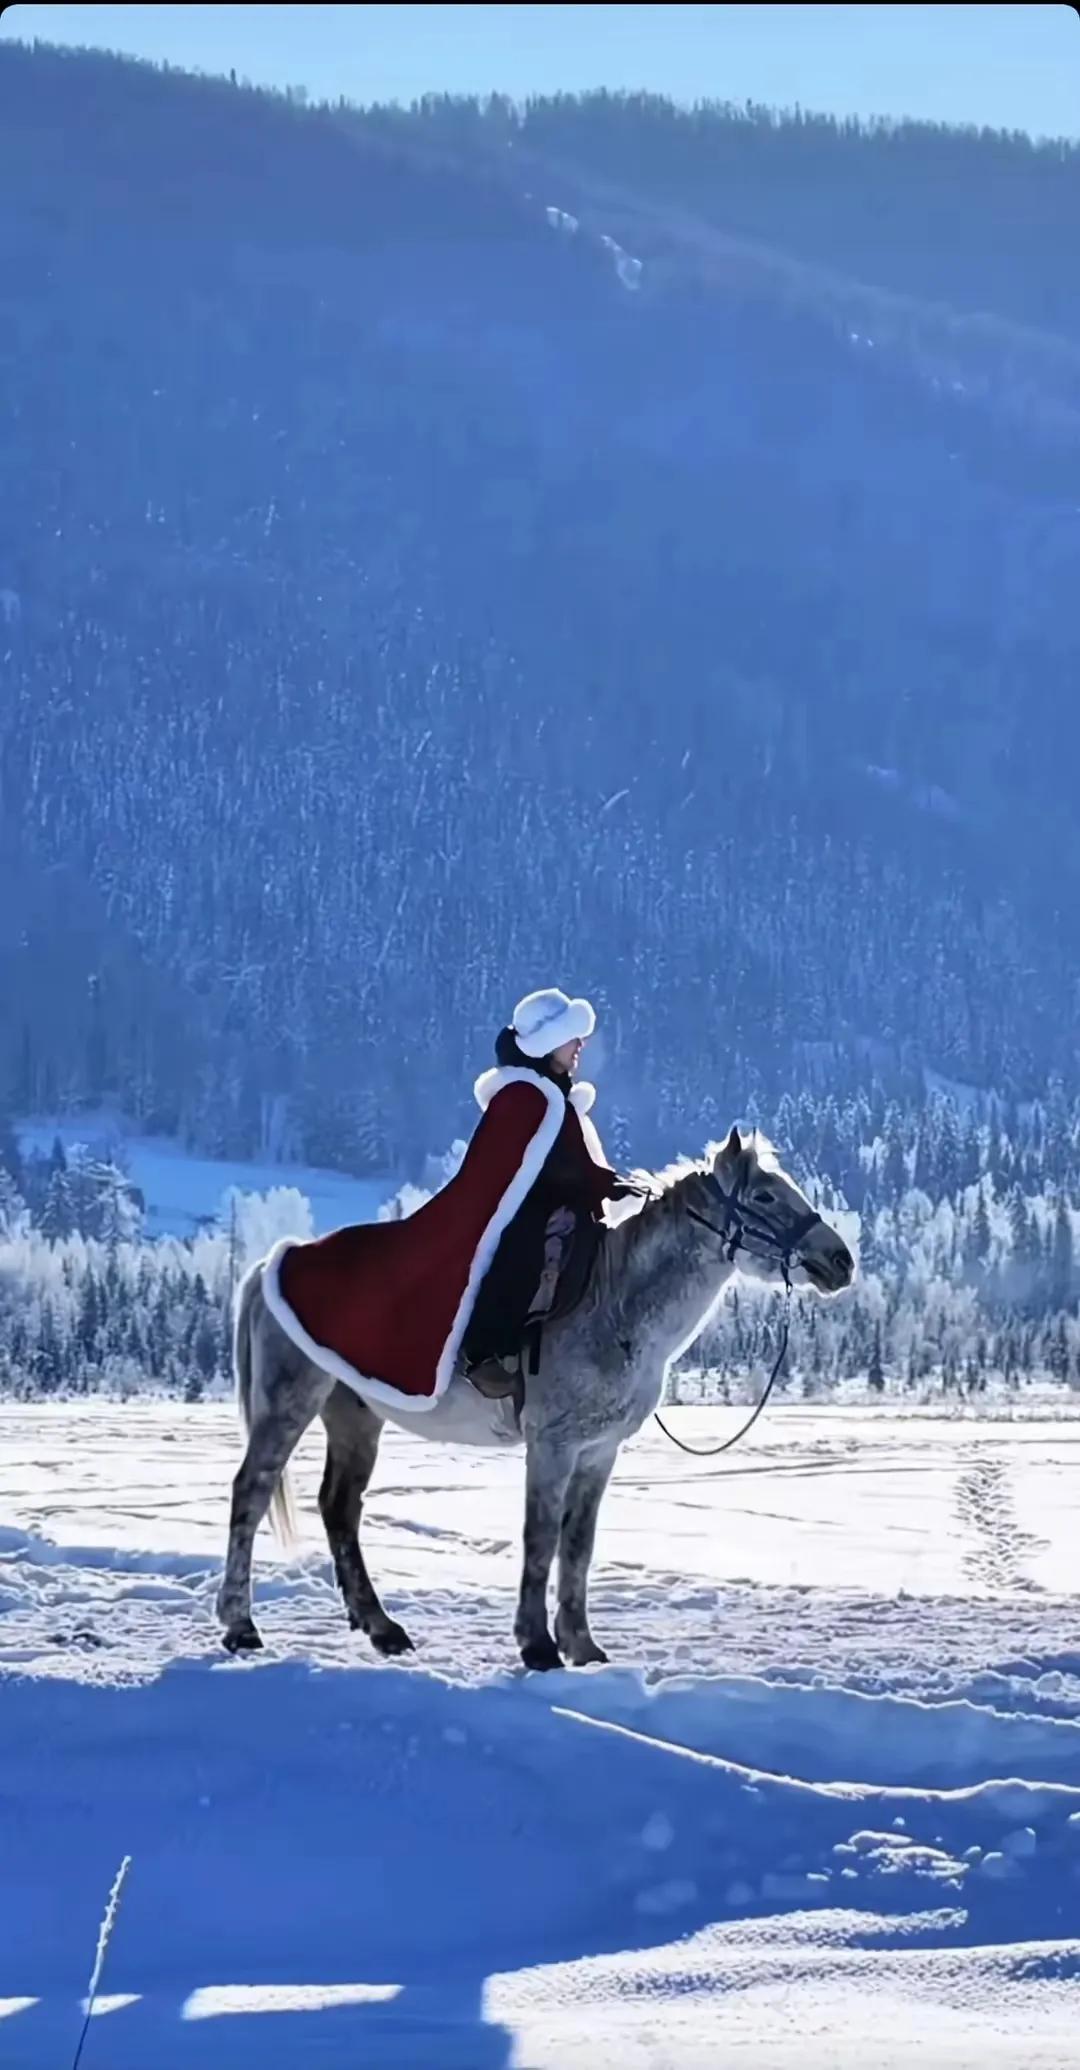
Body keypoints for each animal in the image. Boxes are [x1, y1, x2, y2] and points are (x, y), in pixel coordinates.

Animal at [216, 1126, 848, 1672]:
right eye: (765, 1195)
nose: (841, 1259)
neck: (614, 1306)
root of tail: (276, 1260)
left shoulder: (599, 1451)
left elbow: (578, 1545)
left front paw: (581, 1645)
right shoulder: (552, 1444)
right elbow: (541, 1538)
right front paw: (538, 1645)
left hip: (355, 1415)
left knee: (339, 1507)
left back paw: (382, 1628)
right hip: (289, 1401)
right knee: (251, 1491)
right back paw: (240, 1625)